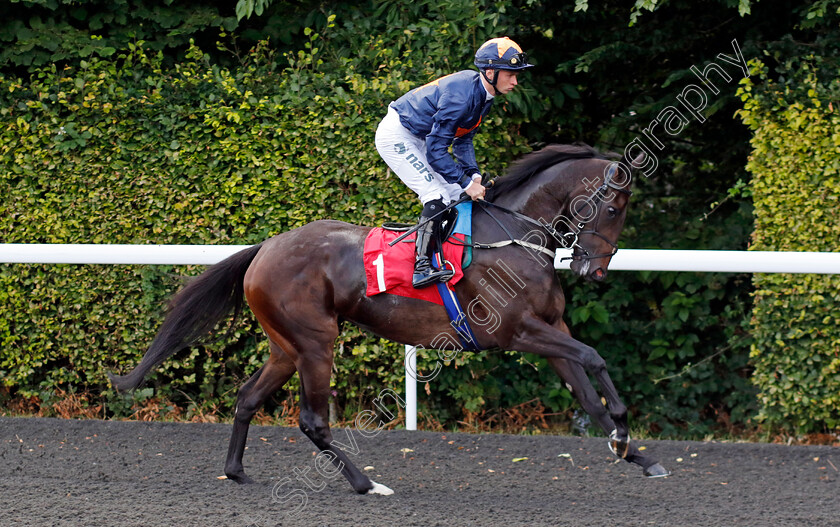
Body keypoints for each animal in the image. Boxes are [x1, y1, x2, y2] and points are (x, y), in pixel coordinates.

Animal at [108, 143, 668, 496]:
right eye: (615, 207)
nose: (594, 270)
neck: (513, 238)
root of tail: (266, 247)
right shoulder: (517, 331)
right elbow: (594, 358)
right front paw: (624, 430)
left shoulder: (553, 328)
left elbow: (586, 391)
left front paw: (634, 453)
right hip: (316, 342)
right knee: (313, 420)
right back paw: (366, 484)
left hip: (286, 345)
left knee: (247, 398)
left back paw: (237, 472)